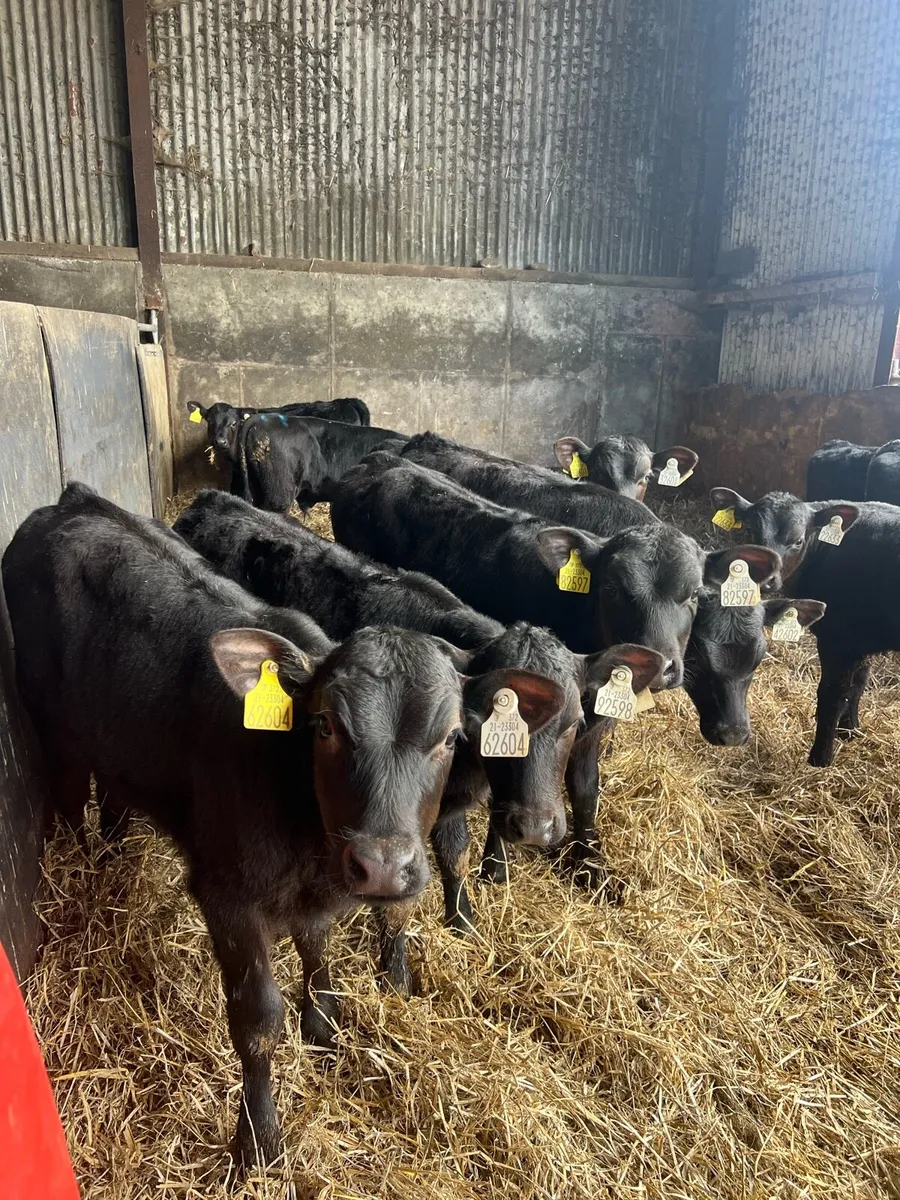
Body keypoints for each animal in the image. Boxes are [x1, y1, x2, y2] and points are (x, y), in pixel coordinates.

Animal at [1, 482, 536, 1170]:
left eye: (449, 737)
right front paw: (257, 1138)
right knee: (69, 802)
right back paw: (88, 885)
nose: (382, 867)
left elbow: (317, 951)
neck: (306, 831)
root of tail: (75, 500)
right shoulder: (227, 896)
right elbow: (256, 1022)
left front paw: (326, 1031)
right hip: (51, 725)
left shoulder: (319, 891)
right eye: (326, 724)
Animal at [706, 486, 900, 767]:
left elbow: (832, 694)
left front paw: (821, 757)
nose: (764, 577)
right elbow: (858, 684)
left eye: (797, 541)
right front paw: (850, 730)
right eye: (751, 532)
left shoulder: (839, 640)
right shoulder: (861, 639)